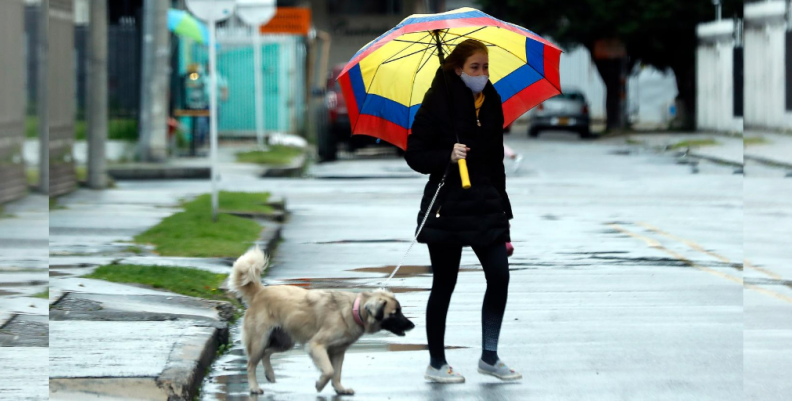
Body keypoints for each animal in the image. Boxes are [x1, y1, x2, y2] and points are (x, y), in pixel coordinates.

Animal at [227, 247, 418, 394]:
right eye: (394, 313)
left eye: (400, 311)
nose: (412, 325)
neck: (353, 310)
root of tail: (260, 291)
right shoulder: (316, 346)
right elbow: (329, 371)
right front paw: (320, 385)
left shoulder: (338, 351)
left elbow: (337, 373)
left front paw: (339, 389)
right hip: (259, 341)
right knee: (251, 364)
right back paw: (254, 387)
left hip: (285, 341)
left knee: (267, 353)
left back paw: (270, 374)